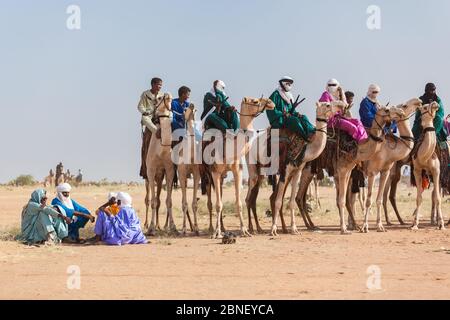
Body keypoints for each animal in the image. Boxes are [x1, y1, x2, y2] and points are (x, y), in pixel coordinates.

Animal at [206, 96, 276, 239]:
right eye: (255, 101)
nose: (271, 102)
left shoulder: (237, 170)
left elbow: (239, 203)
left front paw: (244, 230)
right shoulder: (215, 172)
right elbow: (218, 204)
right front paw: (216, 233)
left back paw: (224, 228)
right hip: (206, 174)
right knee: (209, 201)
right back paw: (211, 229)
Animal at [268, 101, 342, 236]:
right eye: (327, 104)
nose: (341, 105)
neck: (305, 149)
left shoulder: (296, 171)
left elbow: (291, 202)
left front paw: (294, 229)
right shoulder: (285, 170)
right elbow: (279, 201)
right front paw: (273, 230)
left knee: (274, 197)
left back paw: (285, 228)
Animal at [410, 102, 444, 230]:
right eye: (424, 107)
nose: (435, 104)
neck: (424, 156)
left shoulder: (436, 170)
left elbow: (438, 198)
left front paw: (441, 224)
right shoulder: (417, 170)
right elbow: (419, 197)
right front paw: (415, 224)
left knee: (435, 195)